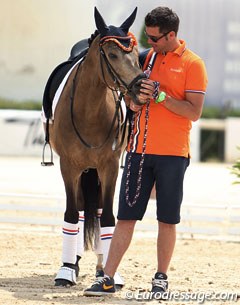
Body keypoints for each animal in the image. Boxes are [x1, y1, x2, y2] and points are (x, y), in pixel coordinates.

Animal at [42, 7, 145, 286]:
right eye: (112, 54)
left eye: (136, 55)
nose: (141, 89)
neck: (89, 109)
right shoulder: (69, 166)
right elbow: (70, 215)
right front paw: (67, 269)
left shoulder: (109, 166)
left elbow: (107, 216)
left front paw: (109, 273)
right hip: (80, 169)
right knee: (78, 211)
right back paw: (74, 262)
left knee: (97, 212)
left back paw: (101, 264)